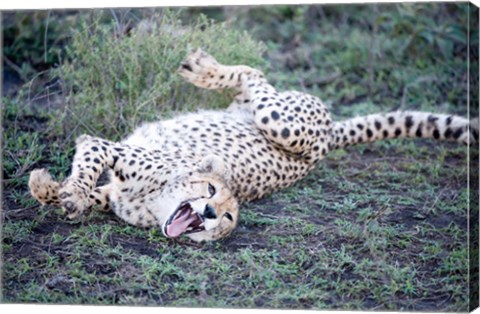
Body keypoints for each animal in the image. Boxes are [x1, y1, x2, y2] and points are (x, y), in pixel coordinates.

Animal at [28, 49, 478, 242]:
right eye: (210, 191)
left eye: (227, 218)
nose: (209, 212)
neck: (157, 201)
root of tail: (331, 135)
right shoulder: (107, 150)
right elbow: (85, 170)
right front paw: (57, 189)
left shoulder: (115, 188)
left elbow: (89, 191)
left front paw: (55, 191)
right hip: (278, 121)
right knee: (254, 73)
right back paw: (203, 67)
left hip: (286, 125)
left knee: (256, 77)